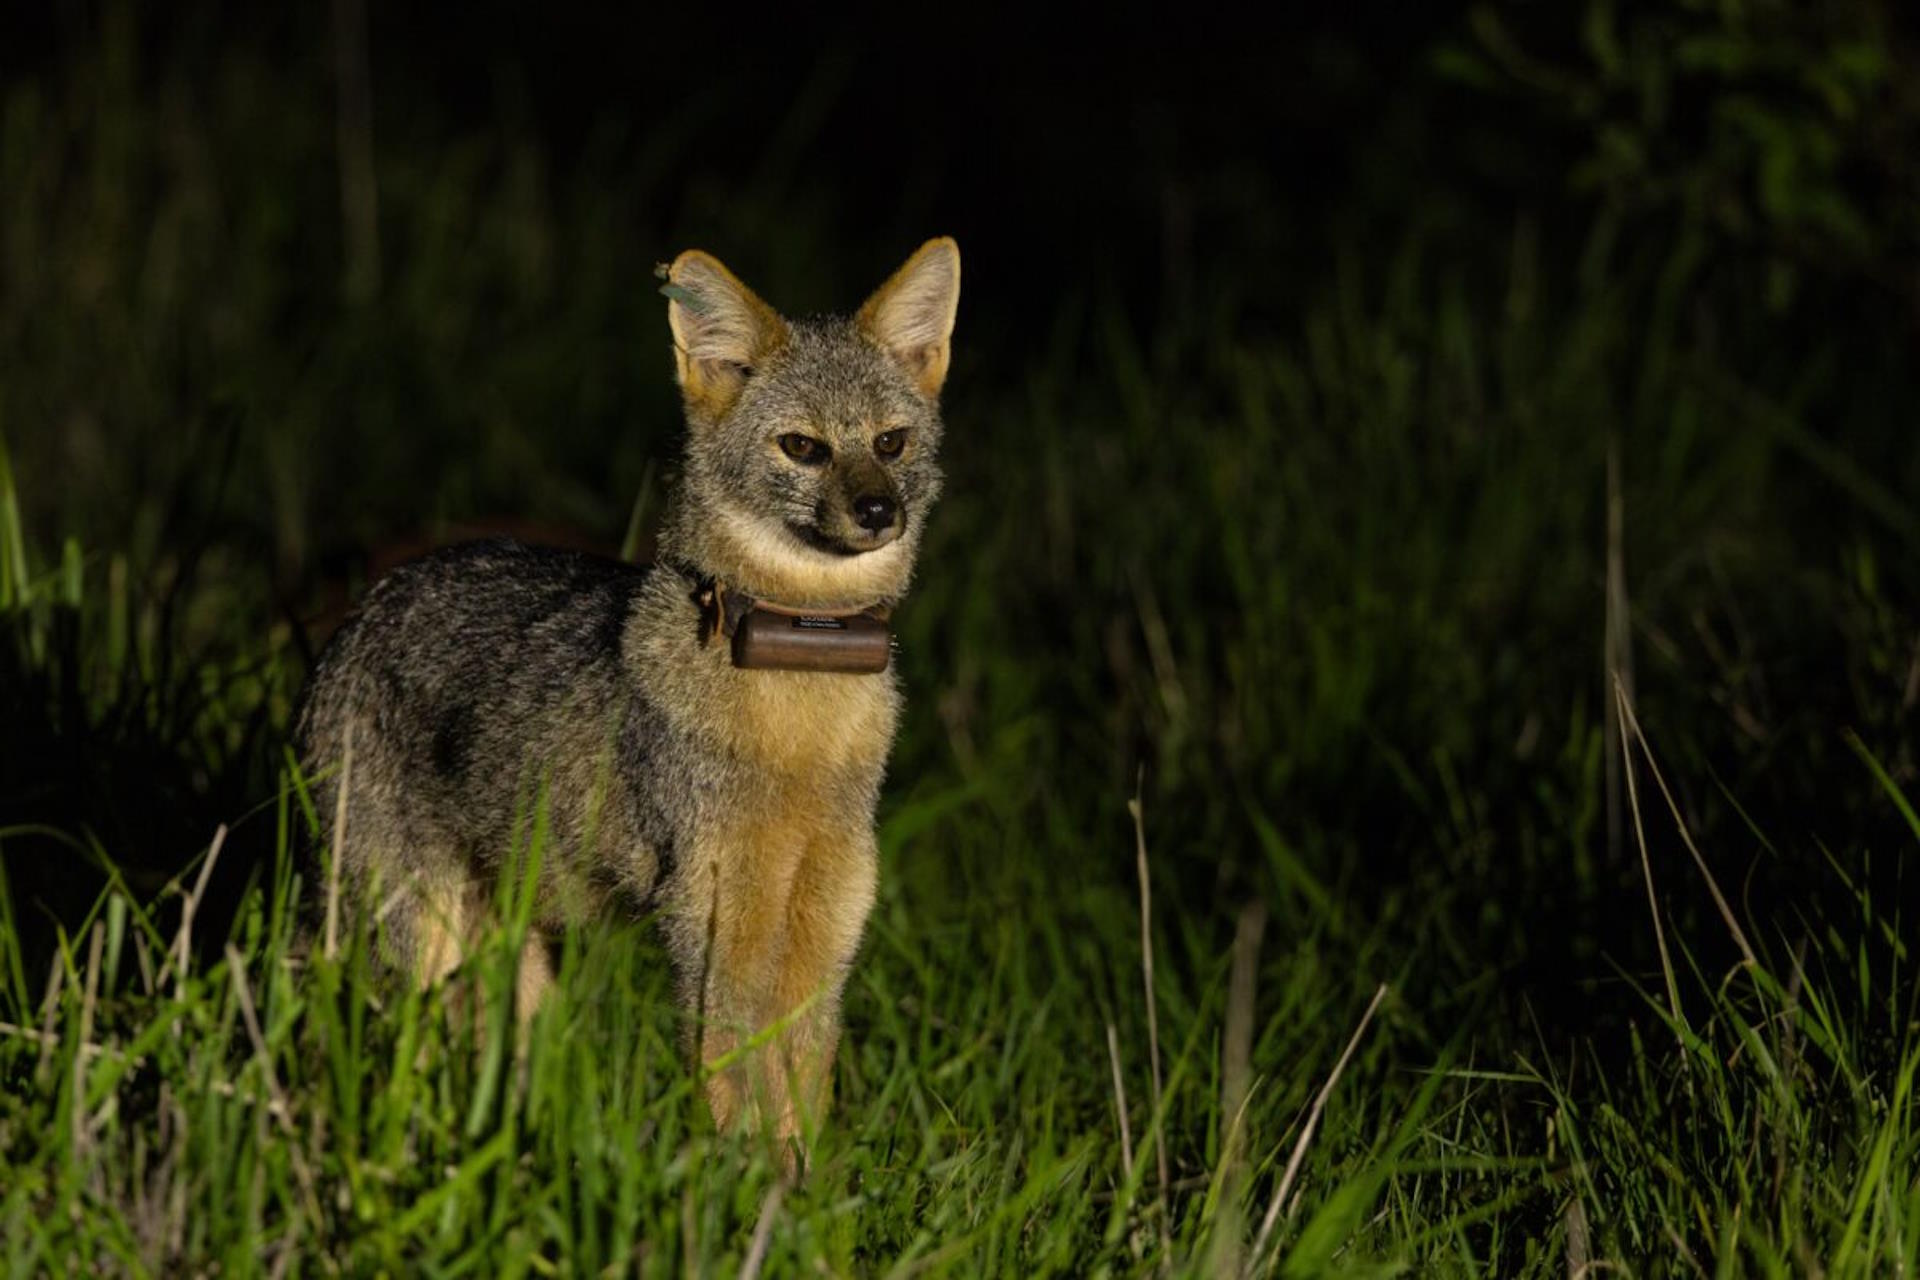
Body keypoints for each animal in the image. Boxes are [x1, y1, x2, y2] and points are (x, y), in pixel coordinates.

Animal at [297, 235, 960, 1166]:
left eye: (891, 443)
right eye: (803, 447)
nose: (877, 510)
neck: (802, 713)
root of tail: (363, 605)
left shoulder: (823, 941)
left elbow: (801, 1112)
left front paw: (807, 1198)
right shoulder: (715, 937)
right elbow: (739, 1107)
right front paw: (742, 1192)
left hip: (516, 971)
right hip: (422, 936)